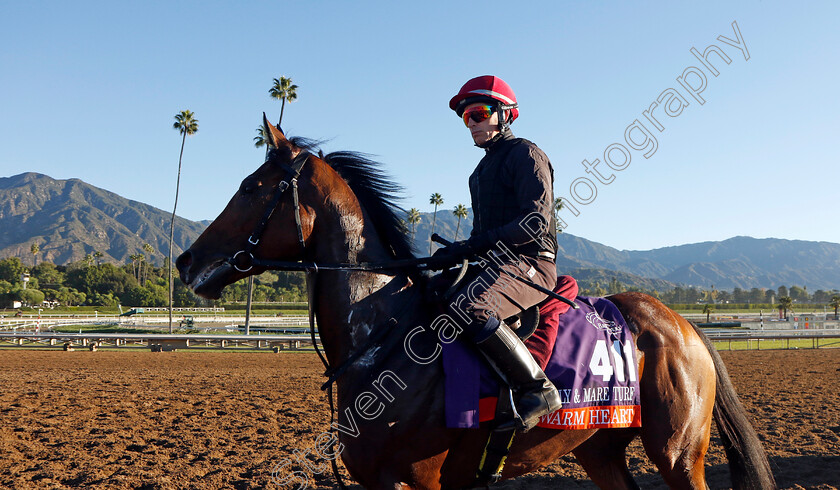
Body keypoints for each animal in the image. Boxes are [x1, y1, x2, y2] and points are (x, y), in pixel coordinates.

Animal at [176, 118, 776, 490]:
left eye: (251, 186)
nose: (186, 261)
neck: (384, 337)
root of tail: (684, 326)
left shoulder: (415, 480)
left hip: (677, 454)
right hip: (598, 448)